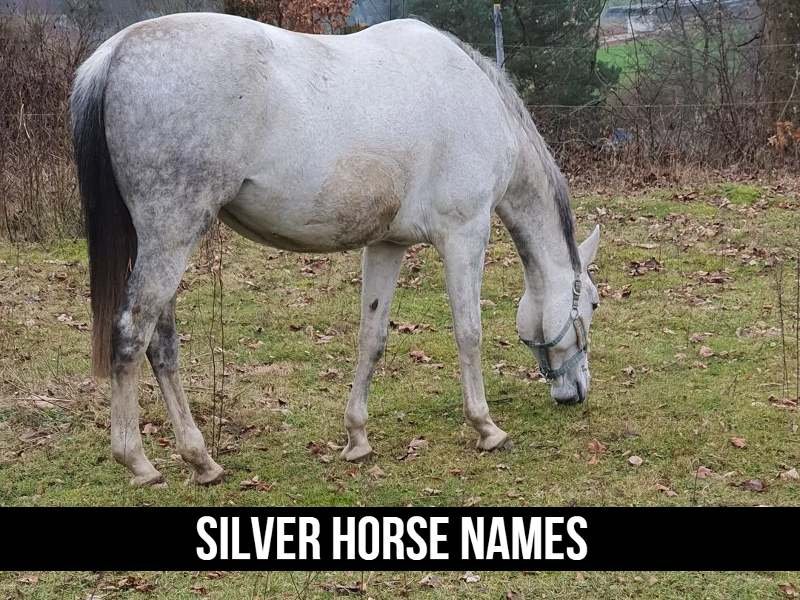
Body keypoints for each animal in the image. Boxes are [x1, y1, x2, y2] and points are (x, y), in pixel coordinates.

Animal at [71, 13, 601, 486]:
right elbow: (469, 333)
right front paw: (487, 428)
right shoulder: (464, 236)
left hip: (160, 245)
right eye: (593, 304)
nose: (576, 392)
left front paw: (357, 439)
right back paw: (140, 463)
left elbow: (372, 337)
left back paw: (201, 463)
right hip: (171, 238)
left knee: (161, 346)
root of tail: (115, 52)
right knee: (131, 335)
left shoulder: (388, 244)